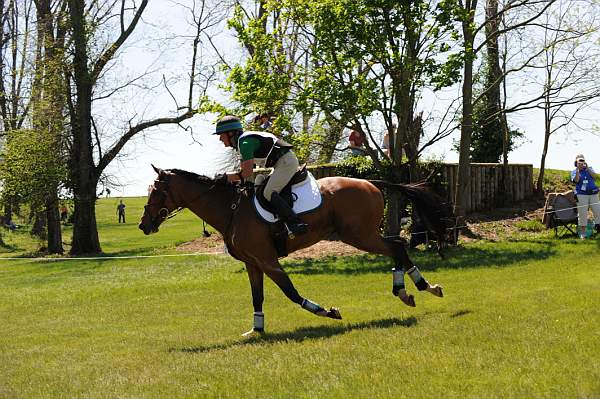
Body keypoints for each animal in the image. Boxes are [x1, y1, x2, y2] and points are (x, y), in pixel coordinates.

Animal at [139, 166, 450, 338]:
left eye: (156, 192)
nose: (144, 225)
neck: (231, 210)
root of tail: (371, 183)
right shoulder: (254, 263)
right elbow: (257, 296)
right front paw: (256, 330)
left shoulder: (268, 260)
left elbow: (290, 292)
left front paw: (326, 311)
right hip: (361, 234)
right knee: (396, 247)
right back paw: (408, 290)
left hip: (358, 235)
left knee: (396, 247)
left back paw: (420, 287)